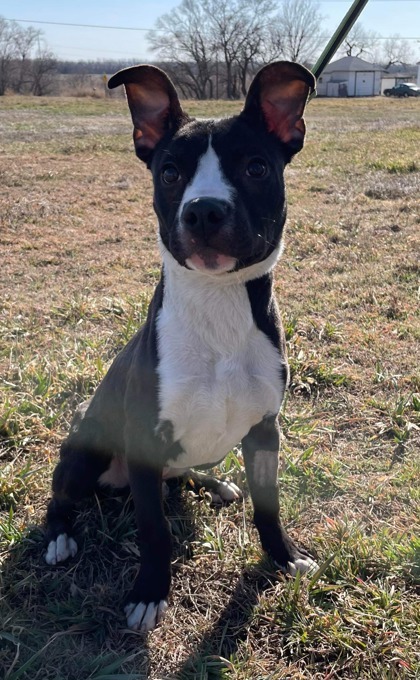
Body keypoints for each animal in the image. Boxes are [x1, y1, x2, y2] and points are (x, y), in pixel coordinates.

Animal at [43, 62, 318, 632]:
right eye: (169, 173)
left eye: (256, 167)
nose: (205, 211)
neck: (218, 304)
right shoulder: (146, 440)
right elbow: (155, 532)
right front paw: (149, 593)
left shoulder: (265, 432)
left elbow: (269, 506)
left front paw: (283, 558)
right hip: (85, 444)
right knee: (61, 499)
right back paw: (60, 538)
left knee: (187, 471)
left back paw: (215, 485)